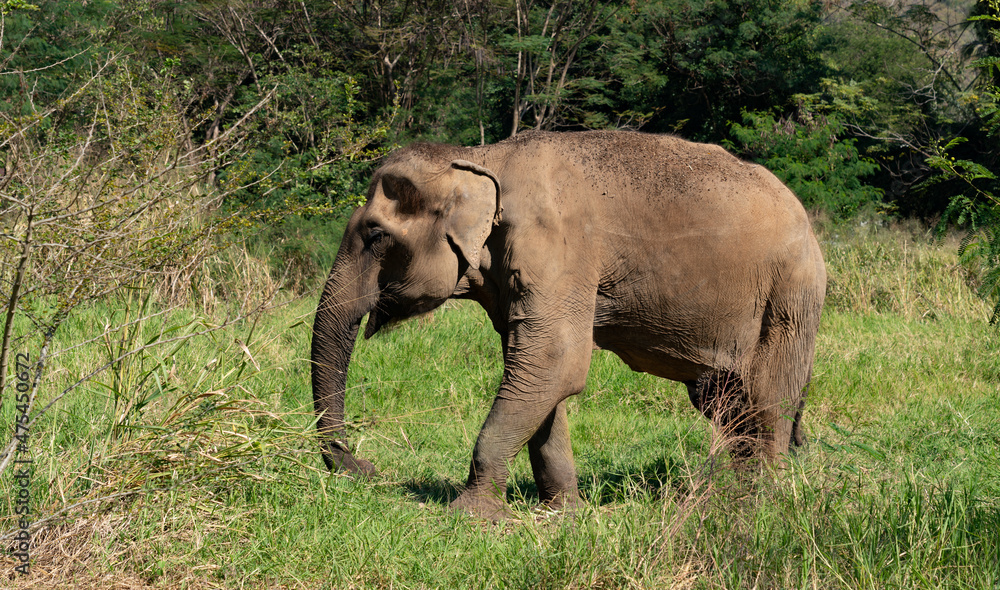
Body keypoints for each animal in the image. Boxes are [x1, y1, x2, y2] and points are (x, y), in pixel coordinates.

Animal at [314, 131, 828, 524]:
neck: (483, 157)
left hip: (790, 296)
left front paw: (472, 517)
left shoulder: (558, 248)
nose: (365, 468)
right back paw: (728, 496)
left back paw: (758, 504)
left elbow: (554, 363)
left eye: (376, 235)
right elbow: (534, 375)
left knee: (769, 398)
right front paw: (563, 513)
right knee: (726, 403)